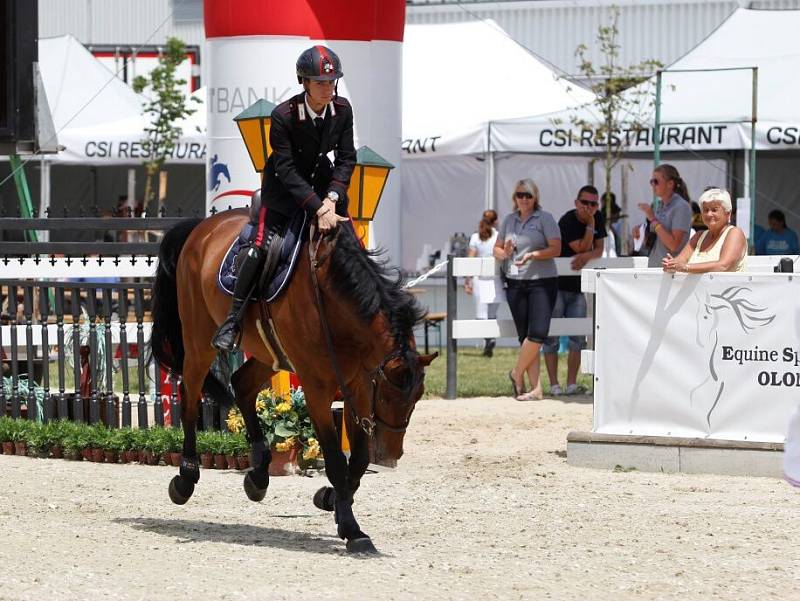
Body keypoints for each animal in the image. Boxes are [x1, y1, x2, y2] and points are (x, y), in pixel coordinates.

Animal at [150, 209, 438, 552]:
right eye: (387, 396)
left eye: (416, 398)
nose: (392, 455)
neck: (335, 300)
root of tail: (203, 227)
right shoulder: (318, 390)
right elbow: (336, 461)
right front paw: (352, 529)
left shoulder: (358, 386)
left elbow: (358, 460)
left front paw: (331, 500)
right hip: (198, 342)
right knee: (190, 398)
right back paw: (185, 478)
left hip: (267, 352)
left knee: (242, 384)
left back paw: (258, 474)